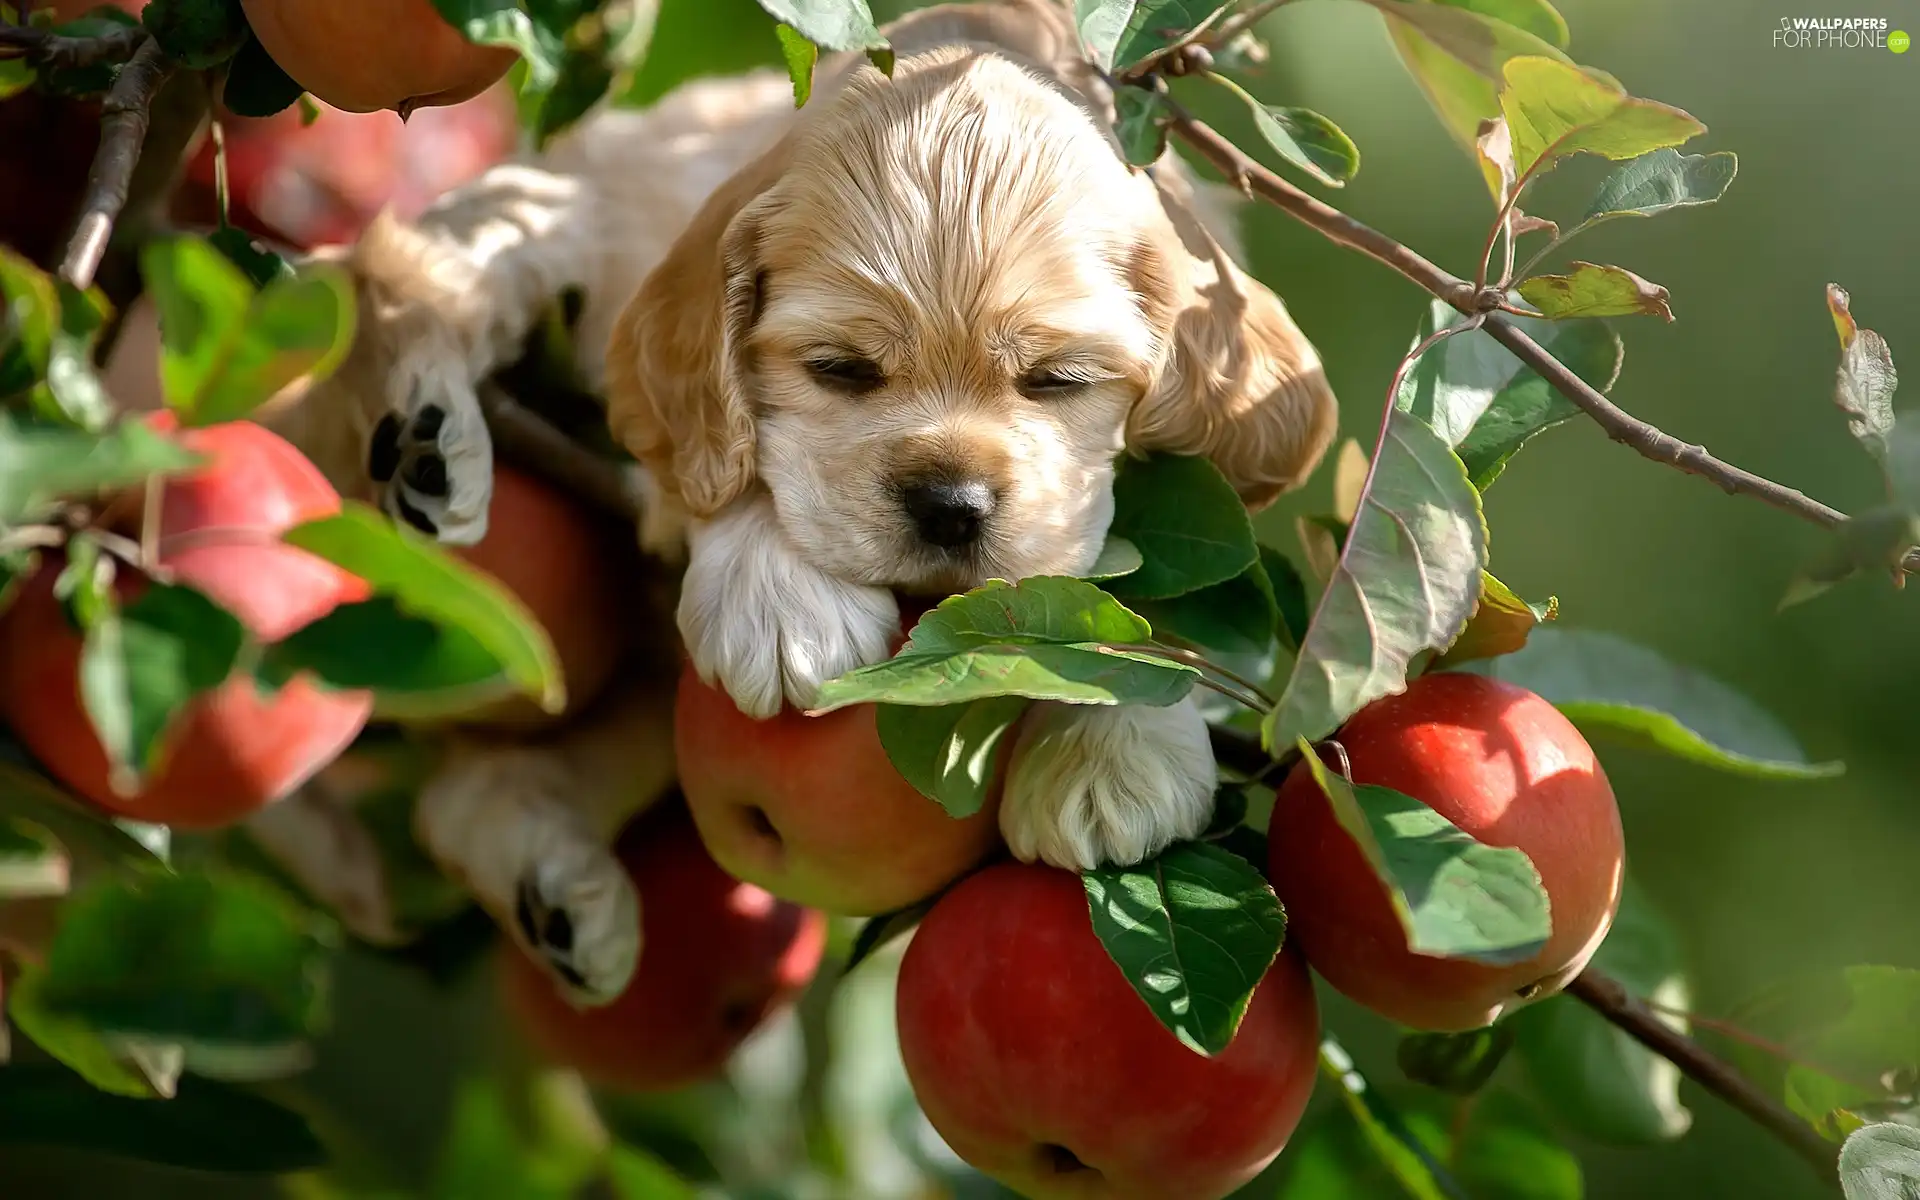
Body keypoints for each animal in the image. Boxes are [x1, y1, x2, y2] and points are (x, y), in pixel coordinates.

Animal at [274, 0, 1336, 990]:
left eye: (1057, 381)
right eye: (841, 370)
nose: (949, 504)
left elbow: (1158, 598)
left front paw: (1114, 755)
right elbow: (735, 460)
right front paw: (783, 605)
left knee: (471, 796)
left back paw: (558, 901)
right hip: (528, 221)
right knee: (407, 275)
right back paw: (424, 441)